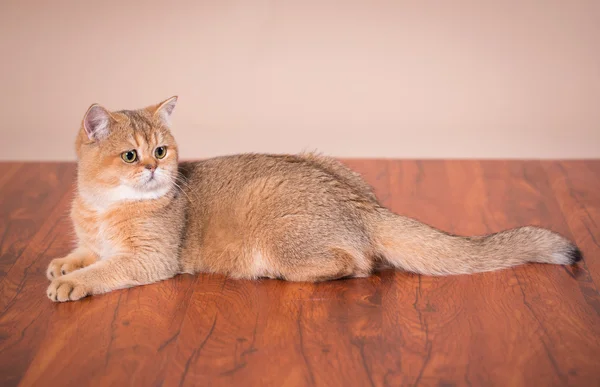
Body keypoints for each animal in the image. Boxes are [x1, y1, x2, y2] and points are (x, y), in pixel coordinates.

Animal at [45, 97, 580, 304]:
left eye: (160, 151)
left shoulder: (151, 258)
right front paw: (64, 264)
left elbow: (106, 269)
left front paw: (73, 282)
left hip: (279, 235)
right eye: (130, 155)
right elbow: (87, 252)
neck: (101, 206)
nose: (154, 169)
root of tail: (364, 205)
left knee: (359, 264)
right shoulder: (96, 238)